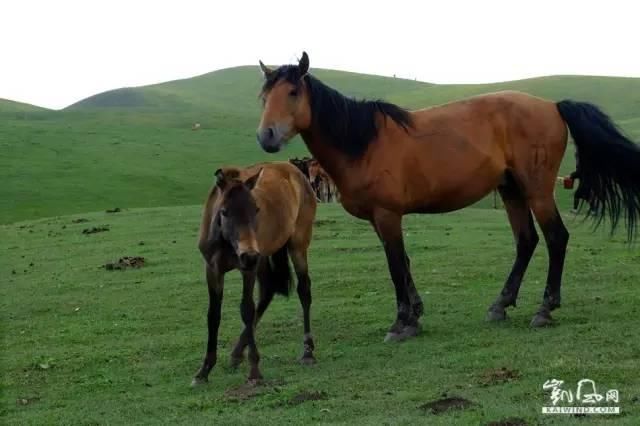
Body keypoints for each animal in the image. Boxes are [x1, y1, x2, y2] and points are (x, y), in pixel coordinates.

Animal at [192, 161, 318, 384]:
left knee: (304, 290)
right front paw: (204, 370)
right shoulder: (213, 270)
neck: (227, 241)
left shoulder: (248, 269)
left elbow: (246, 310)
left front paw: (254, 370)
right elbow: (213, 315)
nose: (249, 255)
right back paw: (236, 354)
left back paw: (307, 352)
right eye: (224, 211)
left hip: (296, 247)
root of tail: (294, 170)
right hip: (264, 258)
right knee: (267, 293)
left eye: (256, 209)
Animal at [255, 51, 640, 342]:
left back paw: (545, 309)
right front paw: (415, 315)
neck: (363, 143)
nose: (266, 136)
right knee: (526, 241)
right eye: (264, 97)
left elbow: (395, 265)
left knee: (556, 238)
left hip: (537, 190)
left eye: (293, 92)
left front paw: (401, 322)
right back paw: (500, 304)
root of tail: (552, 106)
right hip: (511, 190)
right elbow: (404, 262)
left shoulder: (387, 215)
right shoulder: (380, 220)